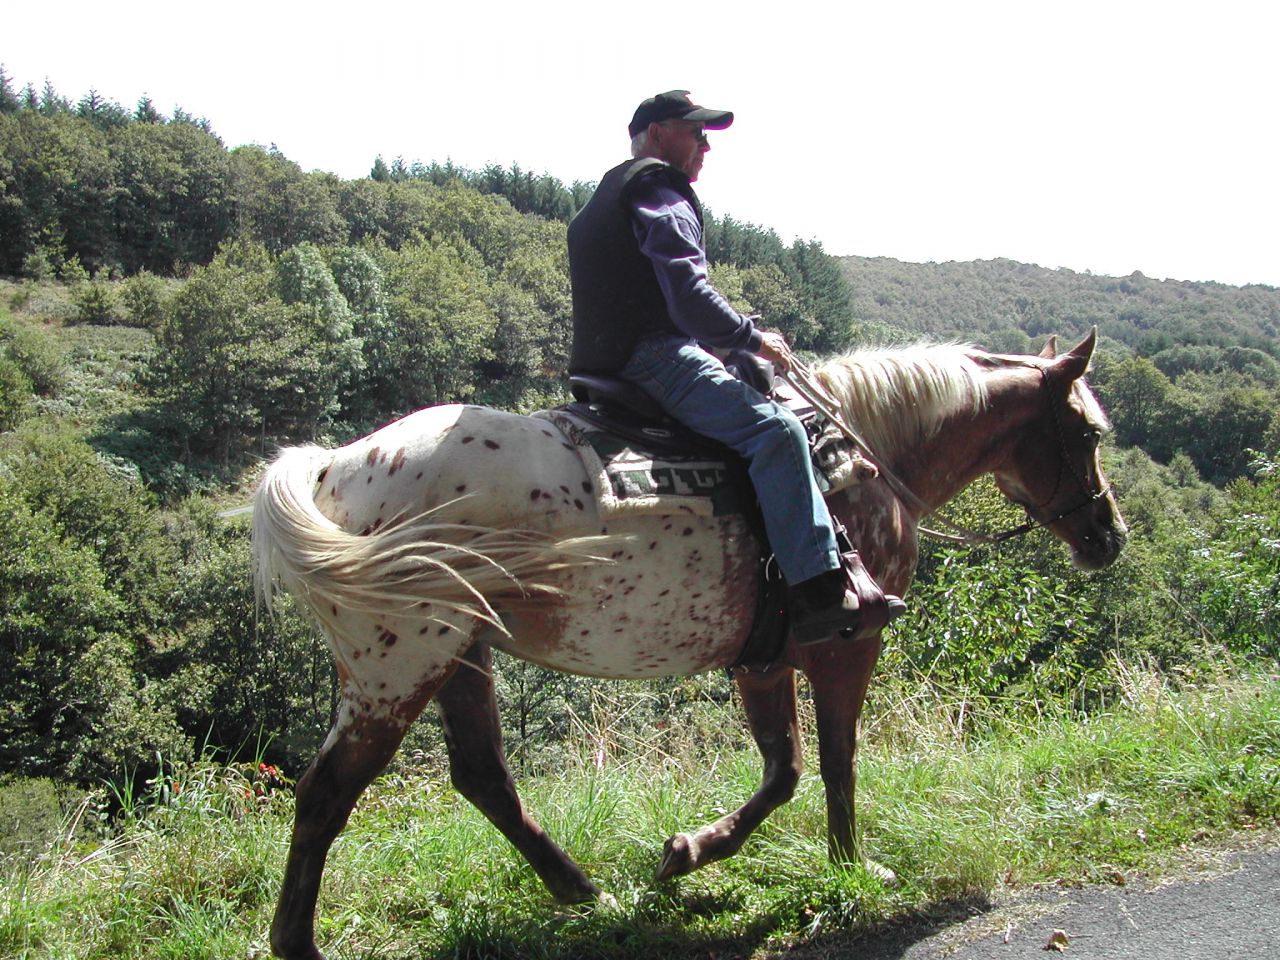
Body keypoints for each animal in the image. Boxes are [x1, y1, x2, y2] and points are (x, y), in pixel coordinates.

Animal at [253, 330, 1125, 960]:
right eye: (1086, 432)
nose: (1108, 536)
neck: (866, 459)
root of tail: (332, 467)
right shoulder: (846, 646)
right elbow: (834, 762)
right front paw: (849, 867)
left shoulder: (763, 659)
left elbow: (784, 769)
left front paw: (686, 853)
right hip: (401, 663)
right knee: (328, 792)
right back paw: (299, 944)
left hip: (462, 652)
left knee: (482, 778)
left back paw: (585, 893)